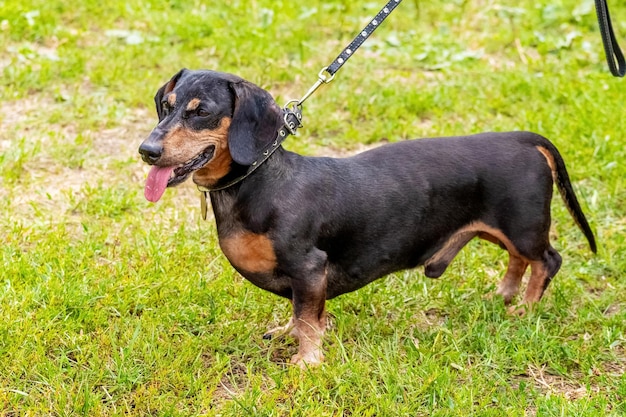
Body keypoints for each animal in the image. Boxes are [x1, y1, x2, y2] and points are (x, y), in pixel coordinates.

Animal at [139, 69, 596, 368]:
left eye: (201, 112)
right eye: (166, 106)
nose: (147, 151)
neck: (261, 182)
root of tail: (522, 139)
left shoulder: (309, 268)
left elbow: (307, 318)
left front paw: (307, 361)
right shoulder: (304, 281)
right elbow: (301, 315)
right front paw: (289, 334)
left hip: (523, 226)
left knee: (547, 260)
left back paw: (527, 310)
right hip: (505, 230)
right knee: (520, 260)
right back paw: (504, 295)